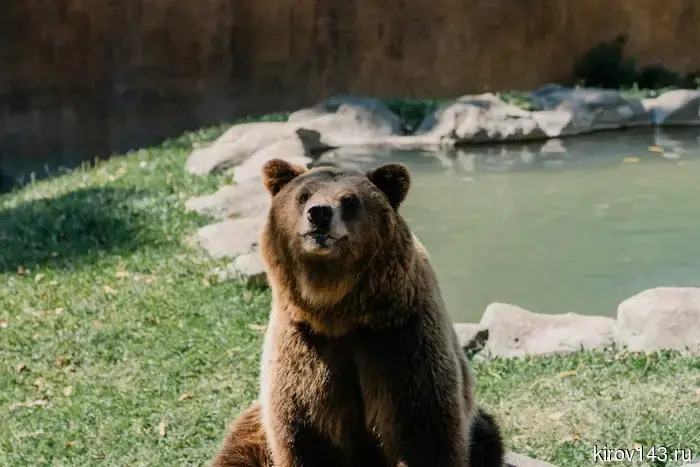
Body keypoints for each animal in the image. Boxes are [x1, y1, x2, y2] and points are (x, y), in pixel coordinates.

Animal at [211, 159, 504, 467]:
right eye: (303, 195)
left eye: (350, 200)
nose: (319, 214)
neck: (338, 311)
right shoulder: (304, 347)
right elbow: (304, 429)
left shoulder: (400, 340)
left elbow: (423, 431)